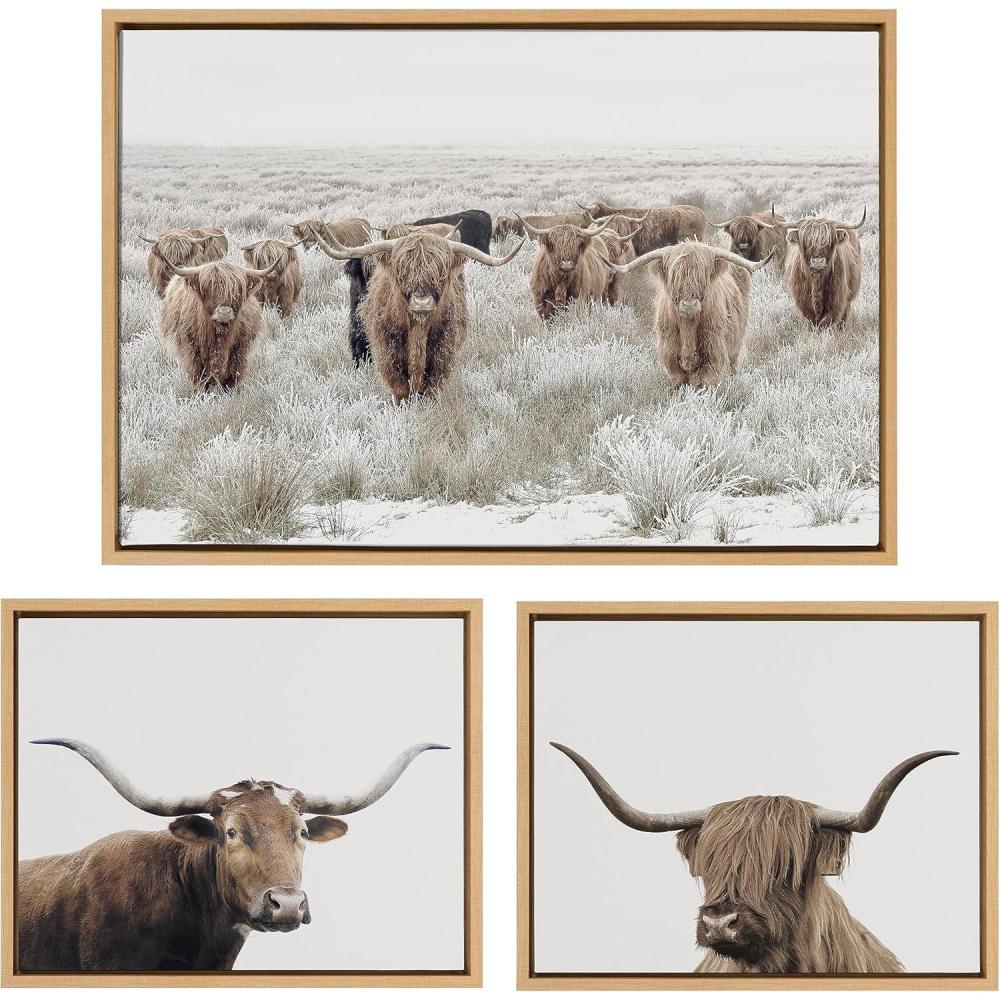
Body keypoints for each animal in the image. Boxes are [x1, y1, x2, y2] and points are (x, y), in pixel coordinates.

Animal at [158, 255, 282, 391]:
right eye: (208, 289)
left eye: (236, 290)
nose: (224, 312)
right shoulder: (192, 350)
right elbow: (198, 376)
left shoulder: (239, 350)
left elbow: (232, 376)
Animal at [598, 240, 773, 387]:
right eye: (675, 276)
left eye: (703, 276)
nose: (689, 304)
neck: (688, 326)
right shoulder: (671, 357)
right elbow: (680, 384)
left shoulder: (713, 354)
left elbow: (705, 386)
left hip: (735, 346)